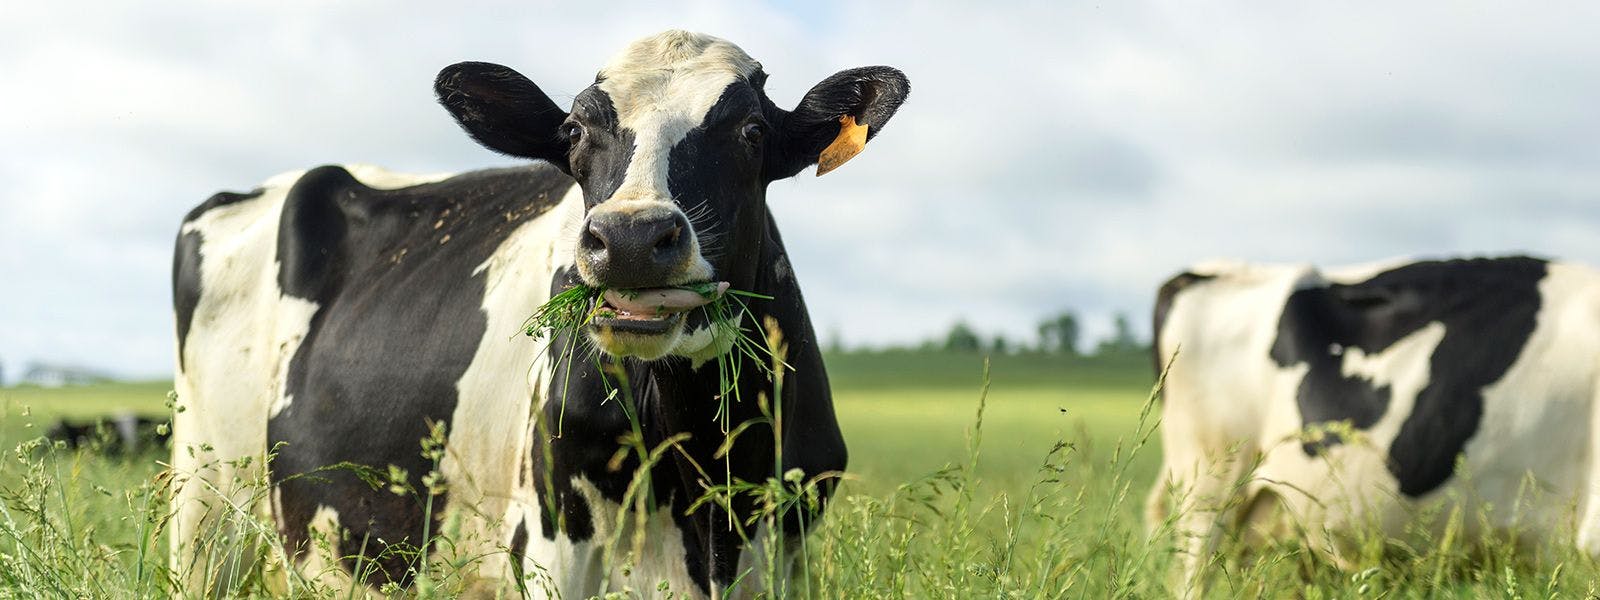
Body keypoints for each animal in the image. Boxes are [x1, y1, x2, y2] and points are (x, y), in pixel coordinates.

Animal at [172, 30, 915, 598]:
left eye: (752, 130)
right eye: (575, 131)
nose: (631, 238)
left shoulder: (785, 543)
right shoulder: (551, 542)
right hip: (205, 511)